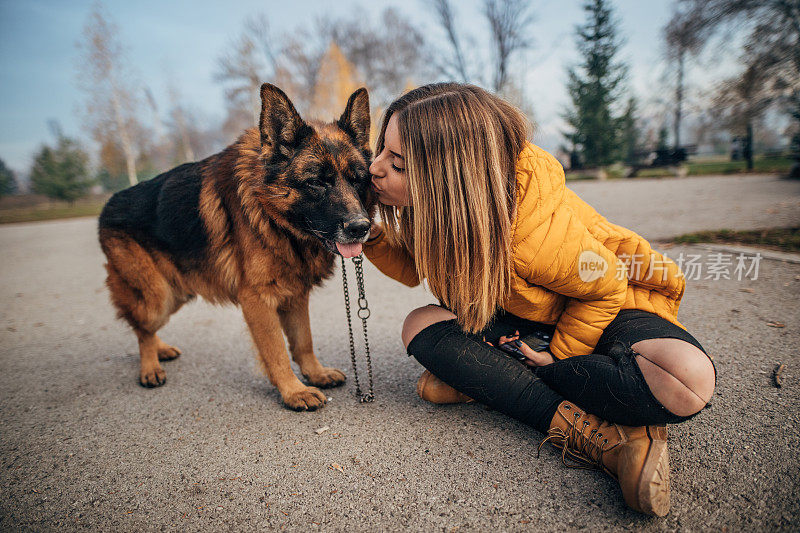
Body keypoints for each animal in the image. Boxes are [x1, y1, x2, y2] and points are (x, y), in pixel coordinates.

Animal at [97, 83, 376, 410]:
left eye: (358, 180)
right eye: (317, 183)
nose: (360, 228)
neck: (271, 214)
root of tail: (109, 204)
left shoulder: (295, 295)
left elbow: (303, 341)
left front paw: (315, 374)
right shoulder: (258, 300)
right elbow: (277, 351)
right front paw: (293, 391)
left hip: (177, 291)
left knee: (147, 328)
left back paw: (160, 349)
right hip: (157, 296)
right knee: (142, 328)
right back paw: (150, 366)